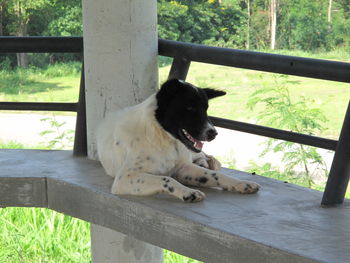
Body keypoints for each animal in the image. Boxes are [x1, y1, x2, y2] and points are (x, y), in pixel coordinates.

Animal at [96, 78, 260, 202]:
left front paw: (241, 183)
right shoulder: (124, 178)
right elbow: (165, 179)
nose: (213, 133)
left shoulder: (183, 168)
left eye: (206, 109)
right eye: (190, 108)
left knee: (204, 157)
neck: (163, 138)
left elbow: (217, 175)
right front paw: (188, 192)